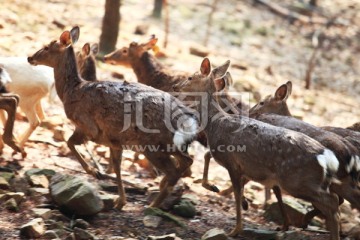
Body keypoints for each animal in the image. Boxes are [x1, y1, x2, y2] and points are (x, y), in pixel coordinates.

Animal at [26, 26, 198, 209]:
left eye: (47, 47)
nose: (30, 58)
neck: (71, 91)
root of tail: (189, 119)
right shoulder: (115, 141)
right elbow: (117, 167)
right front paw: (120, 201)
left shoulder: (89, 127)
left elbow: (70, 142)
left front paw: (94, 171)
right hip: (171, 144)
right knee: (187, 162)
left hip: (152, 144)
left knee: (174, 169)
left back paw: (153, 204)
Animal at [177, 57, 340, 238]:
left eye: (190, 77)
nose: (178, 86)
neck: (215, 124)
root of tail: (326, 157)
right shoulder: (242, 167)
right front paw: (214, 187)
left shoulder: (232, 163)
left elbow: (236, 194)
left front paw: (235, 230)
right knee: (333, 202)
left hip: (295, 179)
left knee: (331, 202)